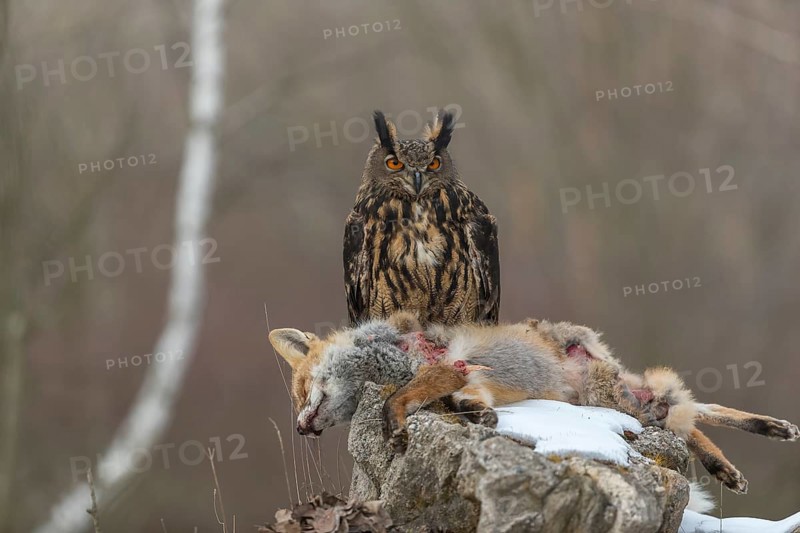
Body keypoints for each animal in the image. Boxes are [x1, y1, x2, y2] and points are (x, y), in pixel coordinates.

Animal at [268, 312, 799, 494]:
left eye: (299, 389)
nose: (299, 428)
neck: (388, 352)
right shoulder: (464, 377)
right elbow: (465, 403)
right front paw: (476, 413)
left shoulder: (444, 366)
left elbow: (393, 402)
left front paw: (396, 426)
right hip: (631, 404)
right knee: (690, 421)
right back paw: (732, 461)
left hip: (624, 399)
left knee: (698, 415)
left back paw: (767, 433)